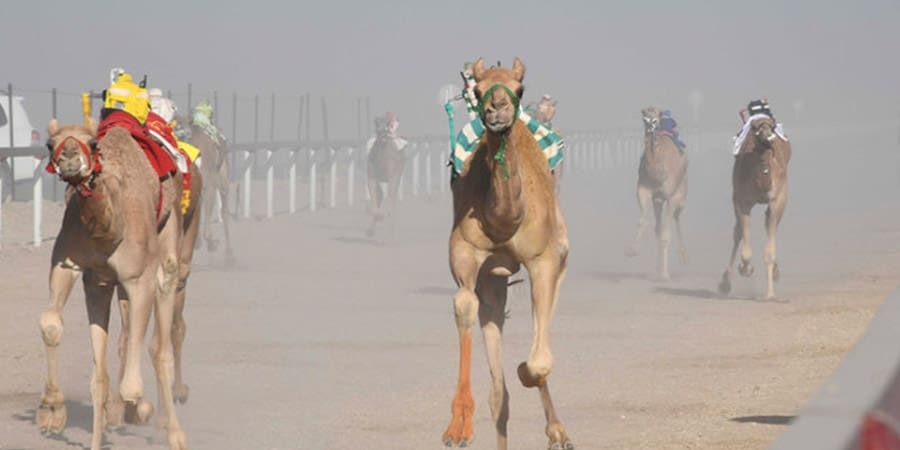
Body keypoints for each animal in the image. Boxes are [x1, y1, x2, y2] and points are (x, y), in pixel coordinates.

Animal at [40, 118, 199, 448]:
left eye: (93, 143)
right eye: (50, 144)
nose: (70, 158)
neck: (109, 230)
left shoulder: (139, 278)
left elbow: (132, 387)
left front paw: (139, 410)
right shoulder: (75, 268)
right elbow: (53, 327)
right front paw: (52, 413)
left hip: (169, 241)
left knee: (161, 344)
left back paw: (173, 431)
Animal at [442, 58, 568, 450]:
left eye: (520, 87)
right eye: (477, 89)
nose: (497, 110)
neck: (505, 221)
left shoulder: (546, 259)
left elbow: (539, 362)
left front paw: (525, 371)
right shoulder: (467, 256)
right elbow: (464, 306)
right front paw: (458, 427)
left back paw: (558, 431)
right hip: (493, 281)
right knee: (499, 394)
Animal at [624, 107, 688, 280]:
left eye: (655, 120)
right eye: (644, 119)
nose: (650, 129)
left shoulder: (672, 197)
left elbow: (666, 235)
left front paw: (665, 276)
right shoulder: (643, 189)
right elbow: (643, 221)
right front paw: (632, 251)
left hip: (681, 195)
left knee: (676, 218)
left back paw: (682, 259)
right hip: (658, 201)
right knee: (658, 227)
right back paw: (659, 267)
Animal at [720, 114, 792, 300]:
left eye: (772, 127)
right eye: (754, 128)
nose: (767, 137)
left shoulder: (777, 200)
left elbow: (769, 251)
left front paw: (770, 294)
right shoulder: (742, 201)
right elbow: (745, 249)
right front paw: (745, 269)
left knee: (768, 227)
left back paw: (775, 273)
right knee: (737, 233)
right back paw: (725, 283)